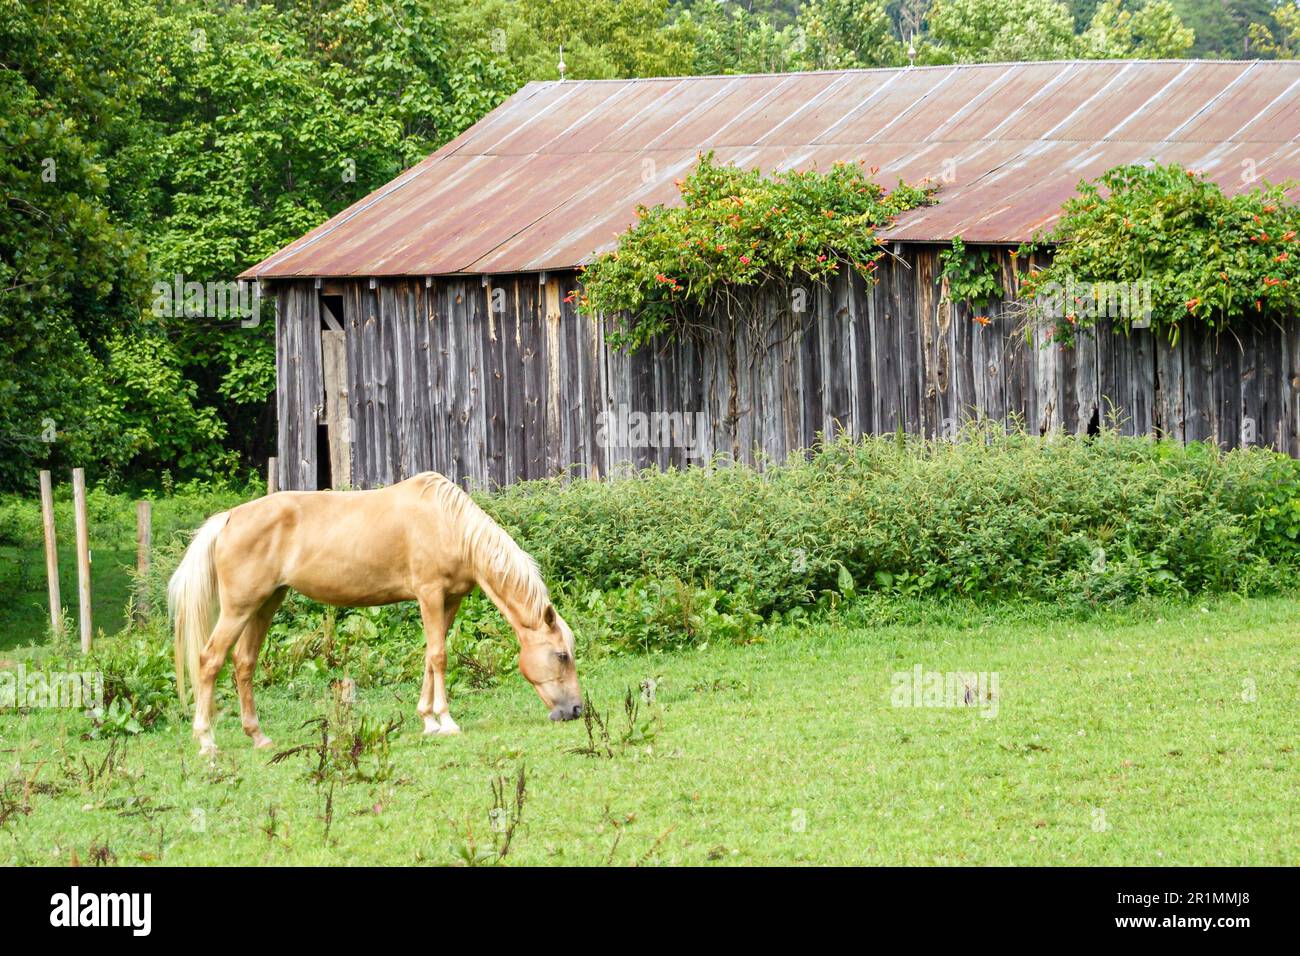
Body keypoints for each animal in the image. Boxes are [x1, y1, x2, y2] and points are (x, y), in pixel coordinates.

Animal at [165, 470, 582, 754]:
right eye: (562, 655)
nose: (577, 709)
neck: (450, 524)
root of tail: (228, 518)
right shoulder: (430, 594)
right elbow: (439, 656)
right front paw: (446, 721)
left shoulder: (449, 600)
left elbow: (430, 657)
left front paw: (427, 720)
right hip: (239, 609)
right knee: (210, 660)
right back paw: (206, 741)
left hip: (266, 604)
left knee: (244, 663)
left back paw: (258, 737)